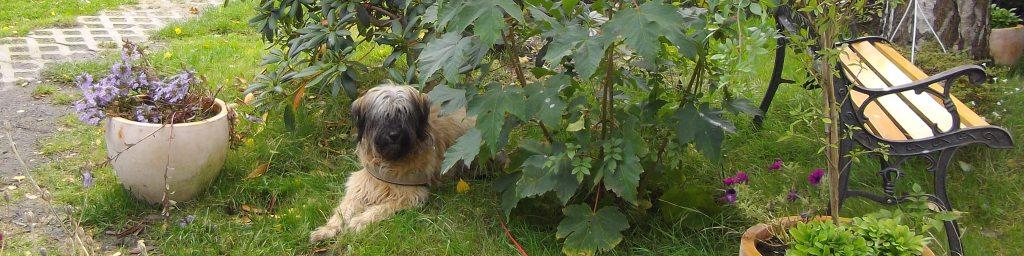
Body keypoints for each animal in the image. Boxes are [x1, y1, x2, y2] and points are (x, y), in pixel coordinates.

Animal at [309, 84, 473, 242]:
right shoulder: (363, 183)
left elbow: (382, 207)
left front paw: (359, 221)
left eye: (404, 113)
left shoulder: (412, 193)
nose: (394, 135)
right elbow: (344, 208)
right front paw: (327, 229)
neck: (389, 162)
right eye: (381, 116)